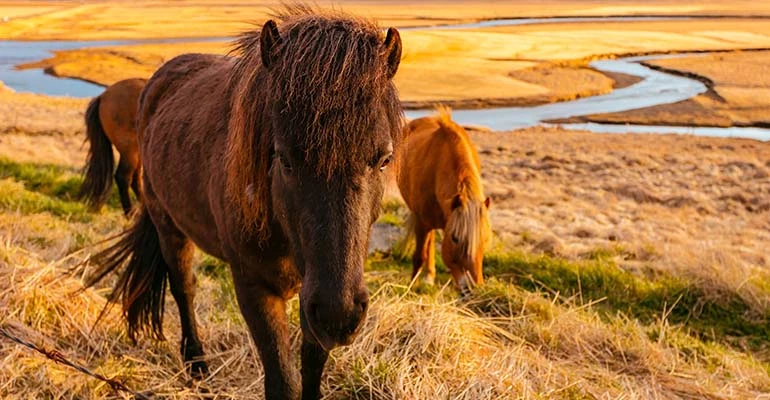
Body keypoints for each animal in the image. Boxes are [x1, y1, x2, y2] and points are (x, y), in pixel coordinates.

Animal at [396, 108, 492, 296]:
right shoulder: (422, 222)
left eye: (484, 239)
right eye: (455, 238)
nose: (472, 289)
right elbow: (419, 256)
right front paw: (409, 288)